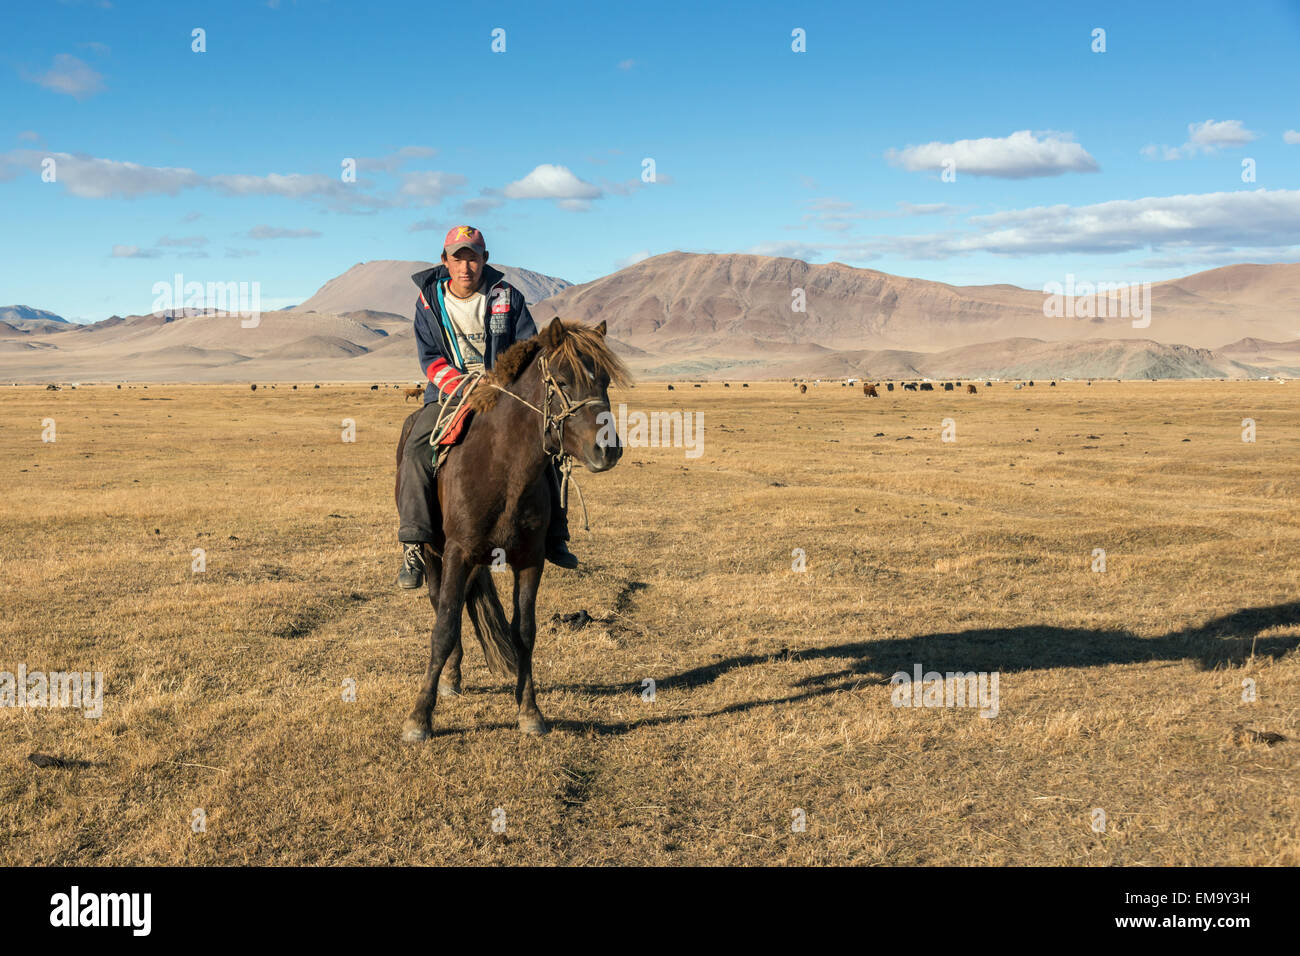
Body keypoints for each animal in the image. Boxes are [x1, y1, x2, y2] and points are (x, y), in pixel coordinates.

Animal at [390, 317, 629, 743]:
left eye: (603, 381)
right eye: (562, 381)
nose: (608, 450)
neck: (504, 468)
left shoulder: (530, 559)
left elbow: (525, 632)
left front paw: (530, 711)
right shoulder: (457, 552)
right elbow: (443, 627)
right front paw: (419, 718)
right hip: (434, 552)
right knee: (440, 603)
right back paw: (448, 676)